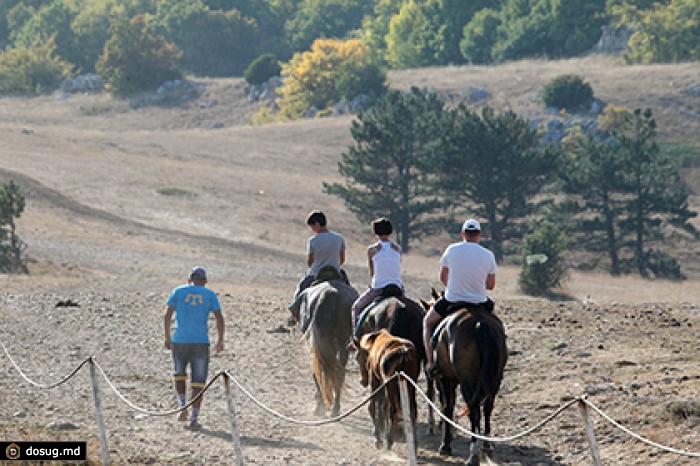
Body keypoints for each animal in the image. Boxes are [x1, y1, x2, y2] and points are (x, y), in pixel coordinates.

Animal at [422, 290, 508, 464]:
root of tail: (480, 324)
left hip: (466, 382)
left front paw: (446, 444)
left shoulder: (446, 379)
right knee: (488, 407)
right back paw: (487, 445)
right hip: (495, 379)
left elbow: (448, 406)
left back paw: (473, 452)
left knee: (474, 410)